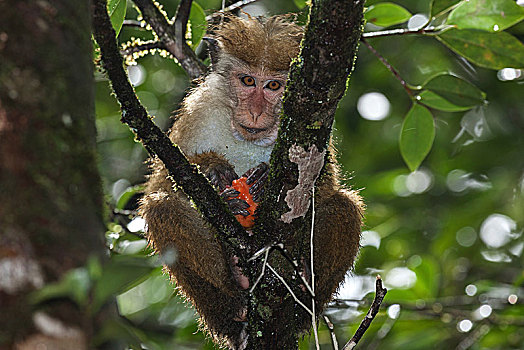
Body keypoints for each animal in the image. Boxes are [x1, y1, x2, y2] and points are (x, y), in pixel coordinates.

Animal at [138, 15, 364, 348]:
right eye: (247, 81)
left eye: (273, 86)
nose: (255, 112)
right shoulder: (197, 111)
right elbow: (161, 185)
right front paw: (213, 171)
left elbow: (325, 188)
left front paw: (266, 177)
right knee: (161, 207)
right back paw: (233, 296)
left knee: (343, 205)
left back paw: (302, 294)